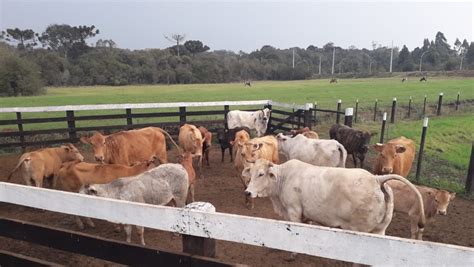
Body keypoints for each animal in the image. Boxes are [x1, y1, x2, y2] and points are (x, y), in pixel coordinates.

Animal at [243, 159, 424, 260]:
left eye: (261, 174)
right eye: (250, 173)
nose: (248, 192)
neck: (284, 178)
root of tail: (376, 179)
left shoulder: (293, 212)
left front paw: (292, 255)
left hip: (361, 231)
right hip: (380, 230)